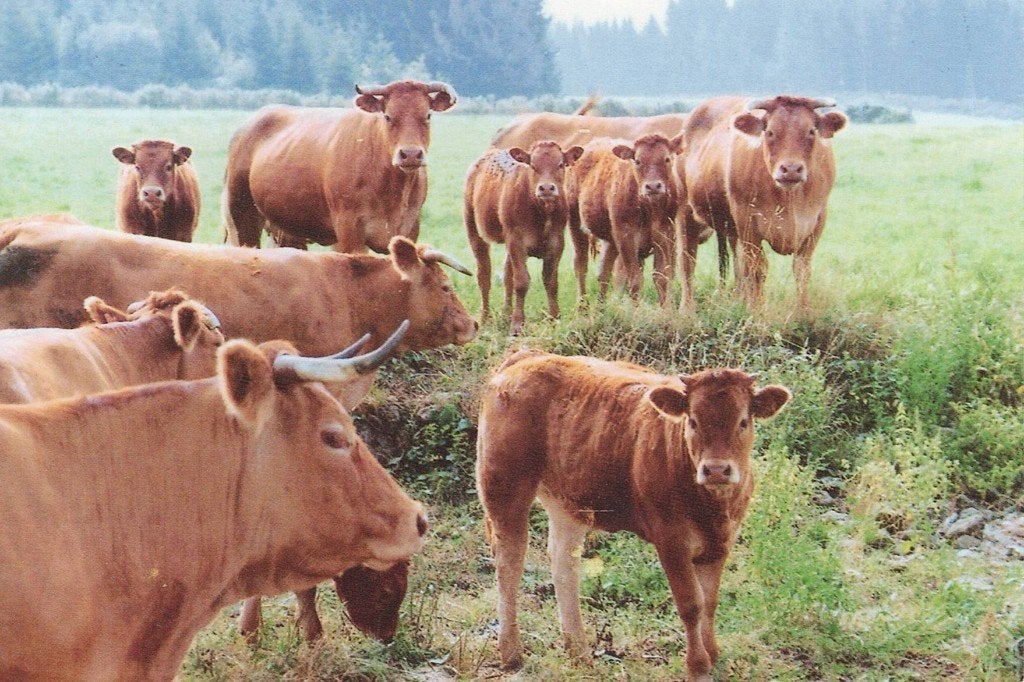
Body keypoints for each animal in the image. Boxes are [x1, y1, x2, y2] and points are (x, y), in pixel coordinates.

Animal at [222, 80, 457, 252]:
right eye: (388, 116)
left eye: (427, 115)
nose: (410, 154)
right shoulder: (349, 231)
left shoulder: (409, 231)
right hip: (242, 217)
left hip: (286, 230)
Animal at [463, 141, 584, 335]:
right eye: (532, 165)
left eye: (560, 164)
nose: (546, 188)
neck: (541, 211)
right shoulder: (516, 241)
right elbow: (521, 282)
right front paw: (517, 324)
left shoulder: (557, 242)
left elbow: (550, 281)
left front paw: (554, 318)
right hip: (473, 229)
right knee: (484, 275)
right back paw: (485, 317)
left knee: (507, 275)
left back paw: (506, 314)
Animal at [476, 349, 791, 681]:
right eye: (692, 421)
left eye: (743, 421)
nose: (716, 469)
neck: (712, 506)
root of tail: (528, 356)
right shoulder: (671, 540)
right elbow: (691, 604)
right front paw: (698, 666)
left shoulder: (722, 541)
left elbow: (710, 602)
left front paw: (713, 655)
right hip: (504, 487)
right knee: (509, 564)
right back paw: (512, 654)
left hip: (567, 502)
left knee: (563, 565)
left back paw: (580, 653)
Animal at [566, 134, 684, 306]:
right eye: (638, 161)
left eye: (667, 159)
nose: (653, 186)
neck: (649, 208)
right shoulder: (625, 236)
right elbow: (635, 281)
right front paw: (636, 311)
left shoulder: (665, 235)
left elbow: (661, 277)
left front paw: (666, 310)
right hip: (576, 224)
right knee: (581, 265)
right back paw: (582, 306)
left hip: (610, 239)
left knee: (604, 272)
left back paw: (600, 308)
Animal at [679, 95, 847, 313]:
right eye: (770, 132)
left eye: (811, 131)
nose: (791, 169)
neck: (789, 198)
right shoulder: (747, 221)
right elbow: (758, 268)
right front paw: (757, 313)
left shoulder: (817, 219)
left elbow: (801, 269)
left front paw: (803, 312)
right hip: (686, 212)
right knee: (687, 261)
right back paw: (686, 309)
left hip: (730, 229)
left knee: (739, 264)